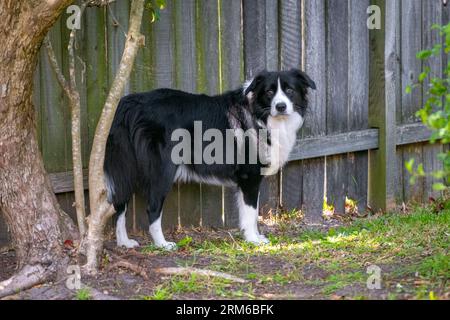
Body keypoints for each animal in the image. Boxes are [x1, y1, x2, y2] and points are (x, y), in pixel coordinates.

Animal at [105, 69, 316, 250]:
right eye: (270, 92)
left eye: (289, 90)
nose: (281, 106)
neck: (260, 115)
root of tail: (131, 102)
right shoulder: (250, 177)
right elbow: (250, 212)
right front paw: (253, 240)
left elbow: (249, 212)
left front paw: (252, 236)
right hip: (162, 171)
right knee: (152, 207)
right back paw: (162, 244)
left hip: (128, 167)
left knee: (120, 203)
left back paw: (124, 242)